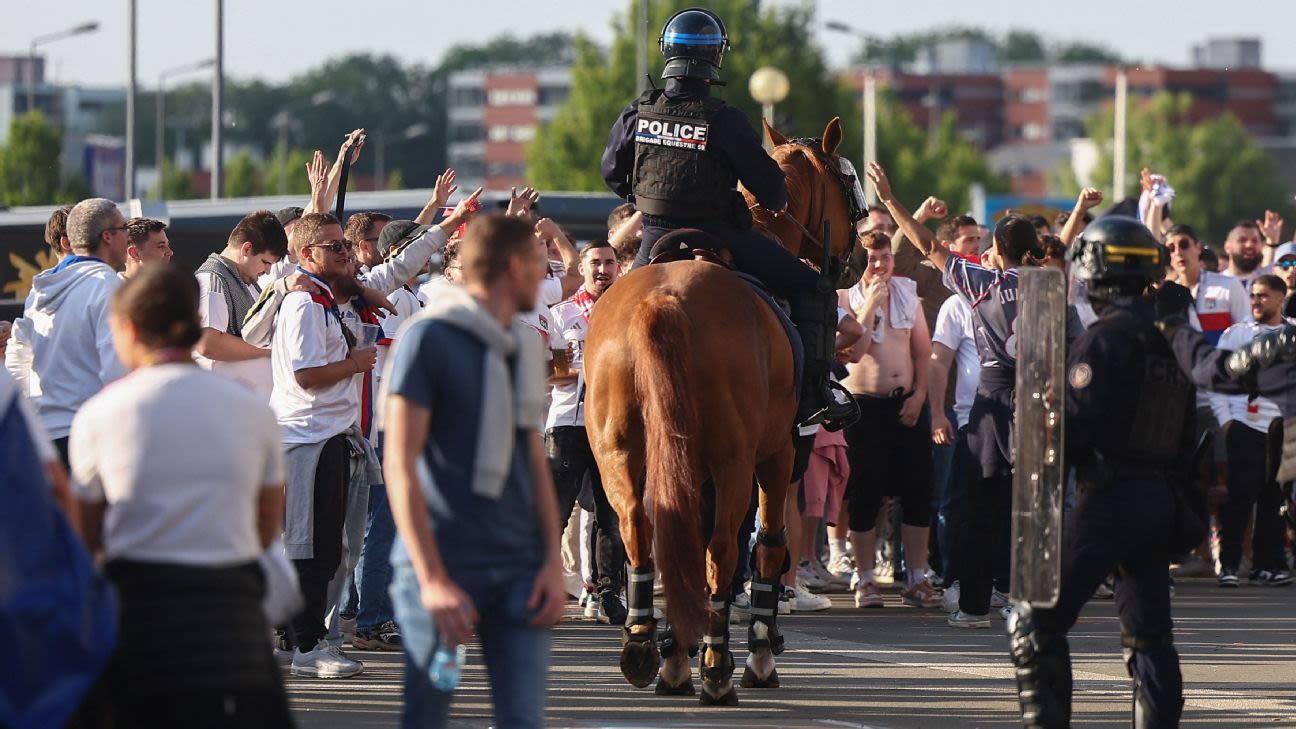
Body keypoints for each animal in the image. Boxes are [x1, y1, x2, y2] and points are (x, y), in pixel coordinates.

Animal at [585, 116, 860, 700]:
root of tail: (662, 301)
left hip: (620, 455)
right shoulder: (779, 456)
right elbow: (769, 545)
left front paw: (676, 648)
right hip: (735, 462)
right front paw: (757, 649)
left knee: (643, 532)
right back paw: (715, 665)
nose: (862, 259)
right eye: (848, 184)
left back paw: (646, 648)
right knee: (721, 549)